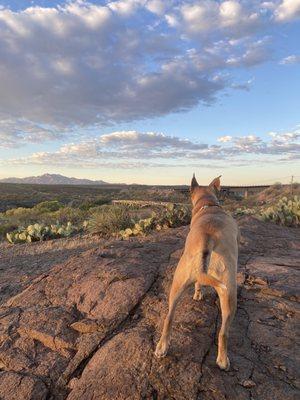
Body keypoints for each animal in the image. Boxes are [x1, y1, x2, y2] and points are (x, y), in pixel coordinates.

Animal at [155, 175, 239, 372]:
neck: (208, 204)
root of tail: (208, 236)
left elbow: (198, 282)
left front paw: (197, 294)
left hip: (179, 281)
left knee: (169, 317)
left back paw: (162, 347)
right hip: (229, 292)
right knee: (223, 332)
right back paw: (223, 360)